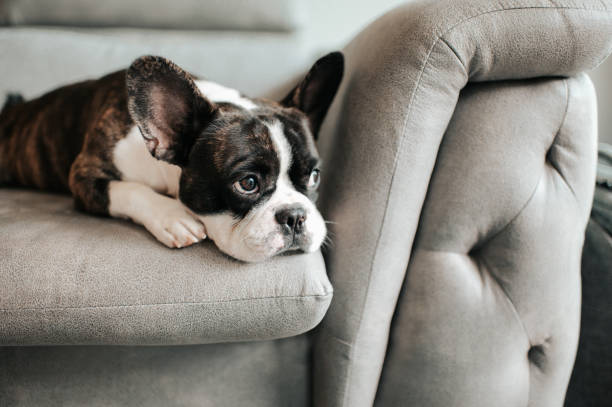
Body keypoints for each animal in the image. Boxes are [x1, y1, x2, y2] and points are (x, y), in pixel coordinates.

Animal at [0, 52, 344, 262]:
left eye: (314, 176)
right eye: (247, 183)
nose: (295, 215)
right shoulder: (85, 174)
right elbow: (129, 189)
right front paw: (172, 216)